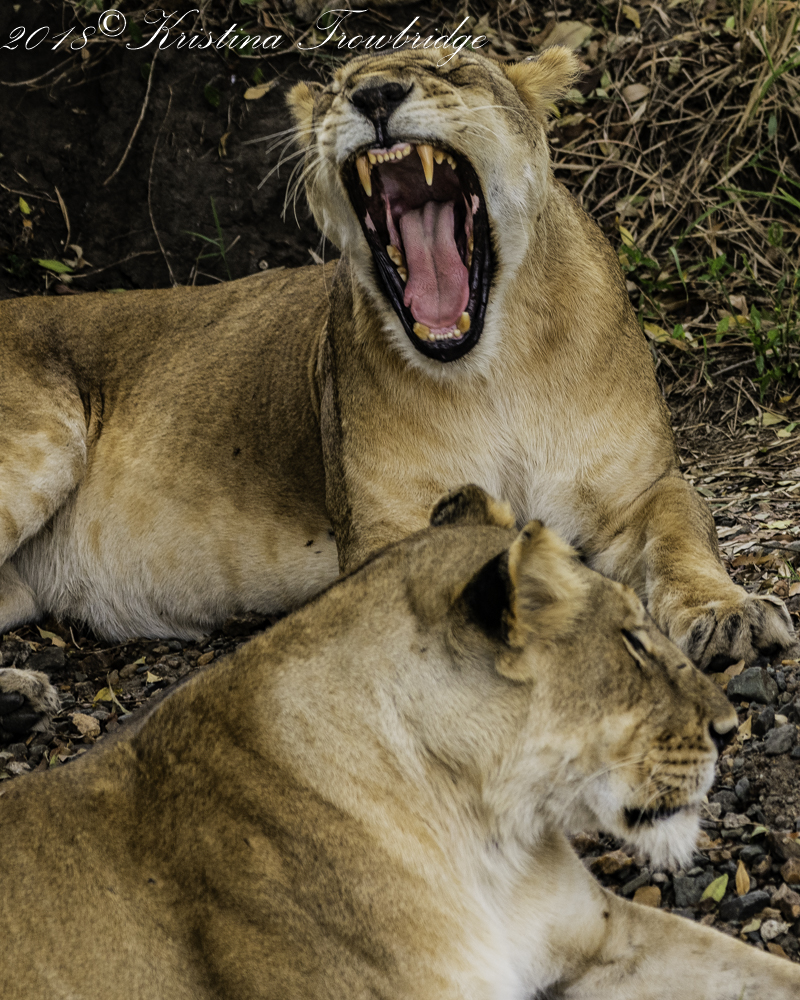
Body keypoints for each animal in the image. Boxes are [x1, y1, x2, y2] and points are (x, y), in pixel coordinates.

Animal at [0, 47, 793, 730]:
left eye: (452, 66)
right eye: (336, 86)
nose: (375, 94)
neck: (494, 371)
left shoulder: (643, 491)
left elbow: (684, 537)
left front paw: (731, 616)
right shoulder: (386, 530)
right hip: (41, 440)